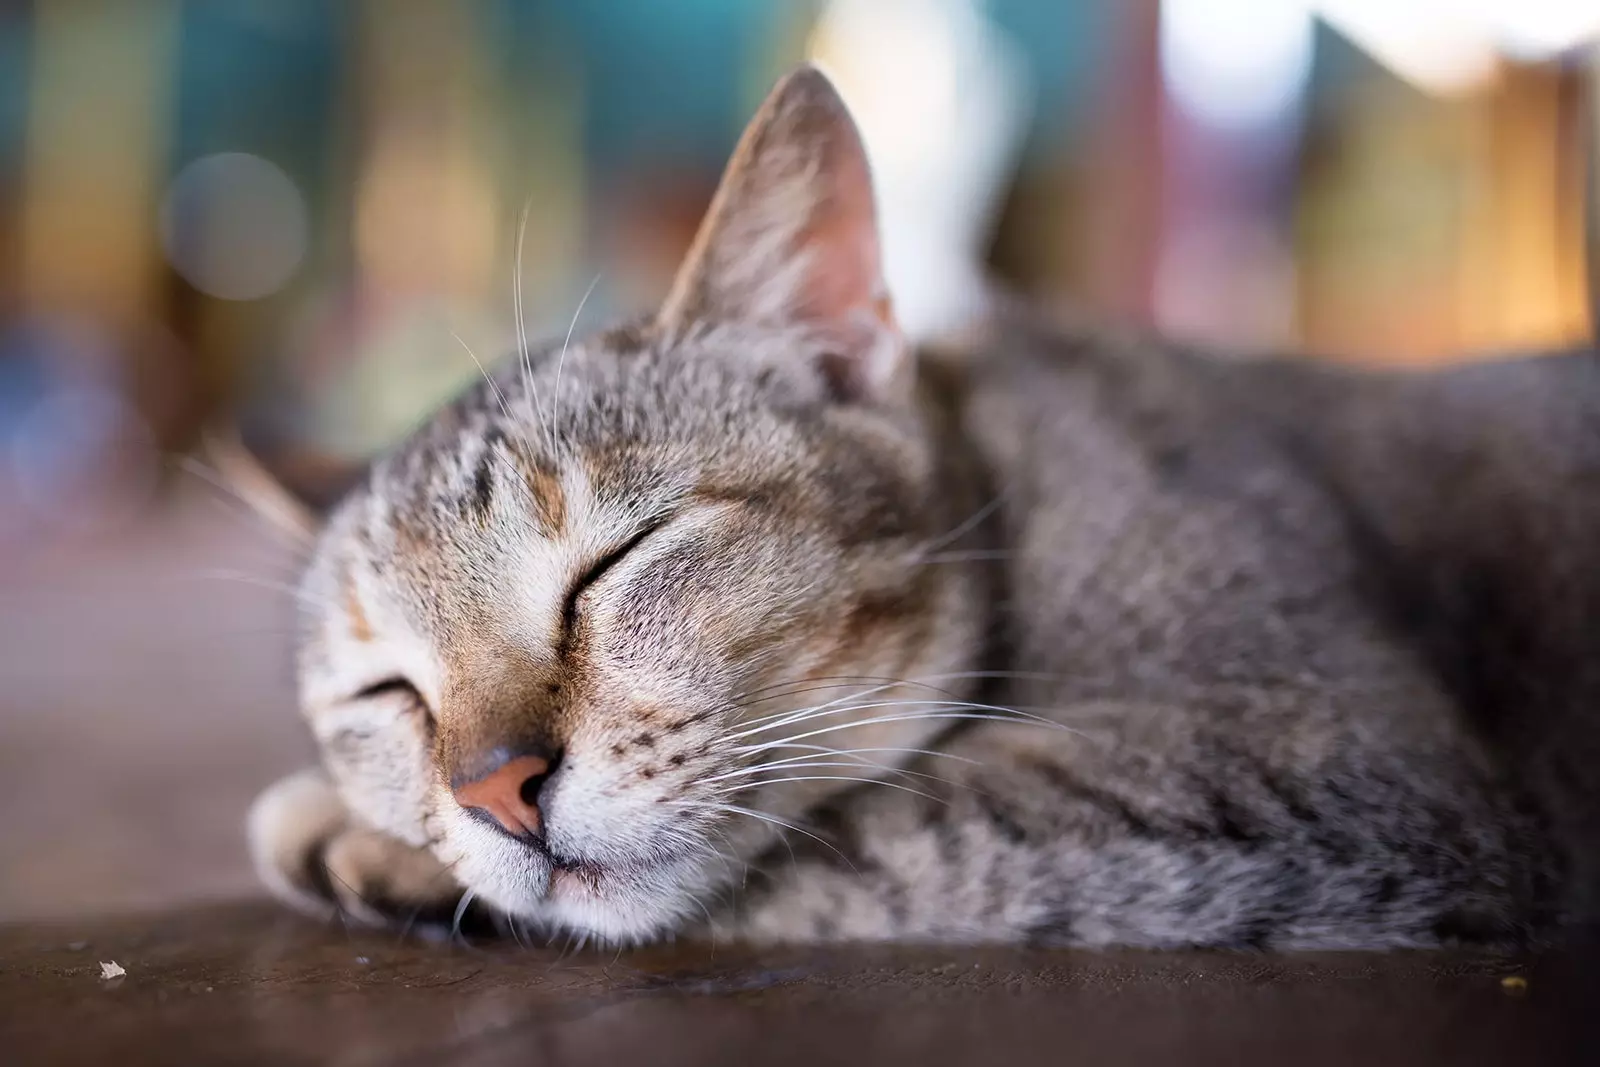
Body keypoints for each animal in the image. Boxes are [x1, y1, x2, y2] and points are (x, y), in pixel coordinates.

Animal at [243, 66, 1593, 953]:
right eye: (386, 691)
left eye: (615, 561)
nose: (490, 791)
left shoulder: (1319, 761)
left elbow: (835, 838)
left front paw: (350, 833)